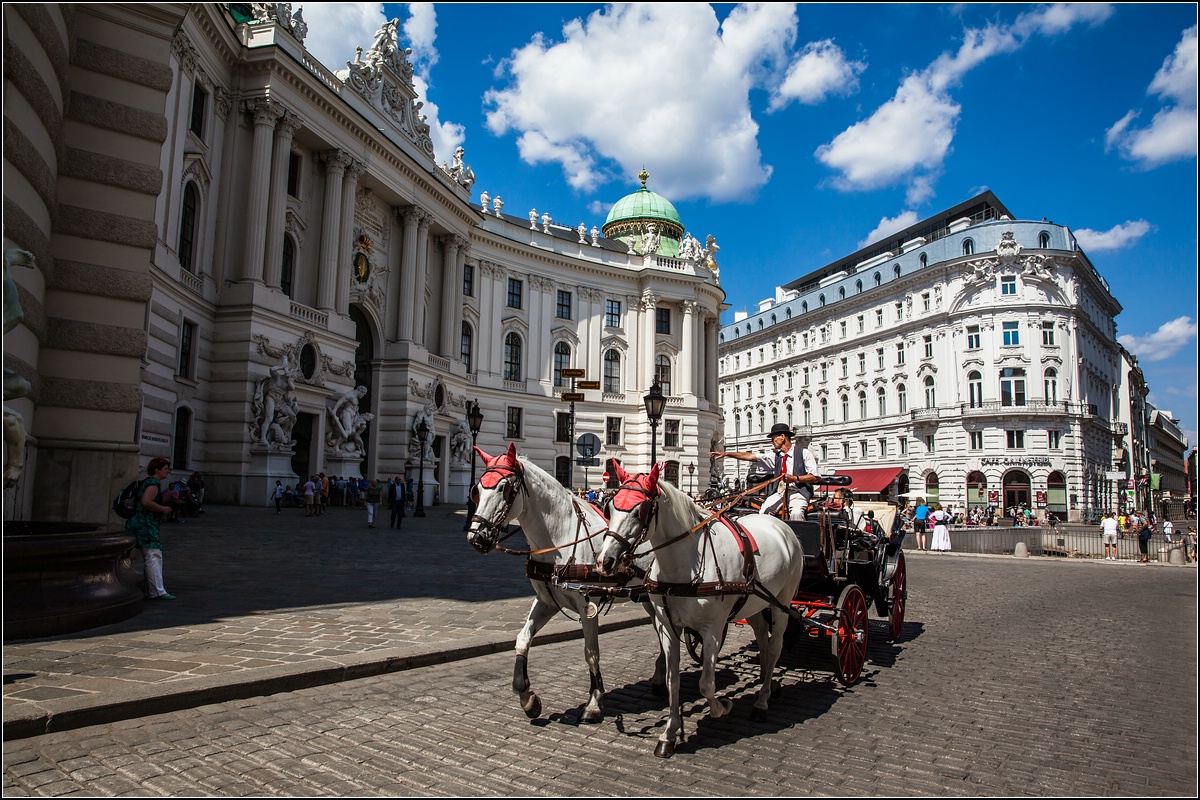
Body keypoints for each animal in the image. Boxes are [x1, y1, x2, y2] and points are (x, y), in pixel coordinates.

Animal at [465, 443, 667, 724]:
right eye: (477, 490)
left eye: (504, 488)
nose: (476, 538)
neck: (560, 538)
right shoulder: (546, 601)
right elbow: (522, 639)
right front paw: (527, 697)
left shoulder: (587, 607)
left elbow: (591, 653)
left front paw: (593, 703)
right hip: (648, 597)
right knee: (661, 631)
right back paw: (660, 677)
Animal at [592, 462, 801, 758]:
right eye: (610, 507)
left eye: (639, 510)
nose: (604, 561)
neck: (683, 564)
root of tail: (780, 523)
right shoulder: (667, 627)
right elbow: (673, 681)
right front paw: (668, 735)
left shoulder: (712, 629)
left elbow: (706, 683)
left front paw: (723, 707)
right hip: (753, 603)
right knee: (762, 637)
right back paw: (767, 683)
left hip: (781, 603)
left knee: (774, 648)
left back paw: (762, 701)